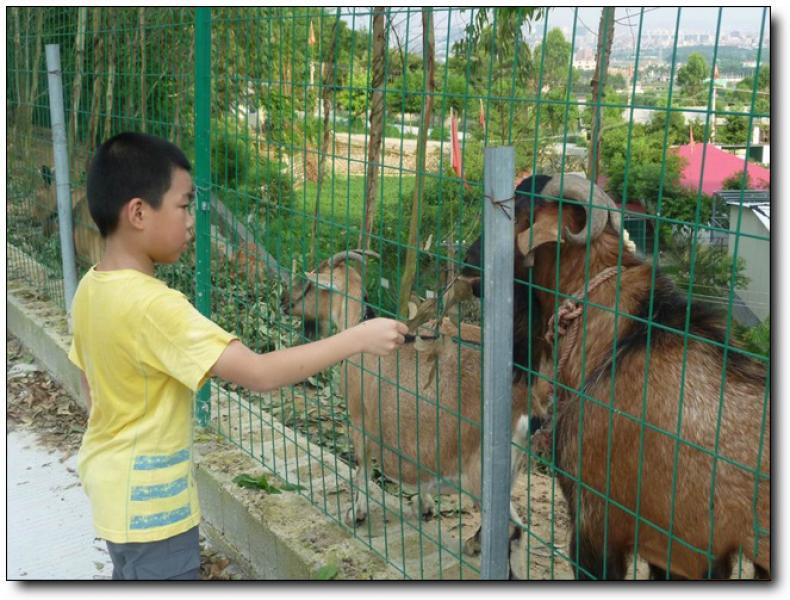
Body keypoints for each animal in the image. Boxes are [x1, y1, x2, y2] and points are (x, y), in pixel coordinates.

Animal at [284, 251, 532, 556]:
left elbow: (362, 468)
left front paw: (357, 512)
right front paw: (424, 506)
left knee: (513, 530)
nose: (283, 300)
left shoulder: (361, 421)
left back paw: (475, 544)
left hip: (483, 470)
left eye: (309, 285)